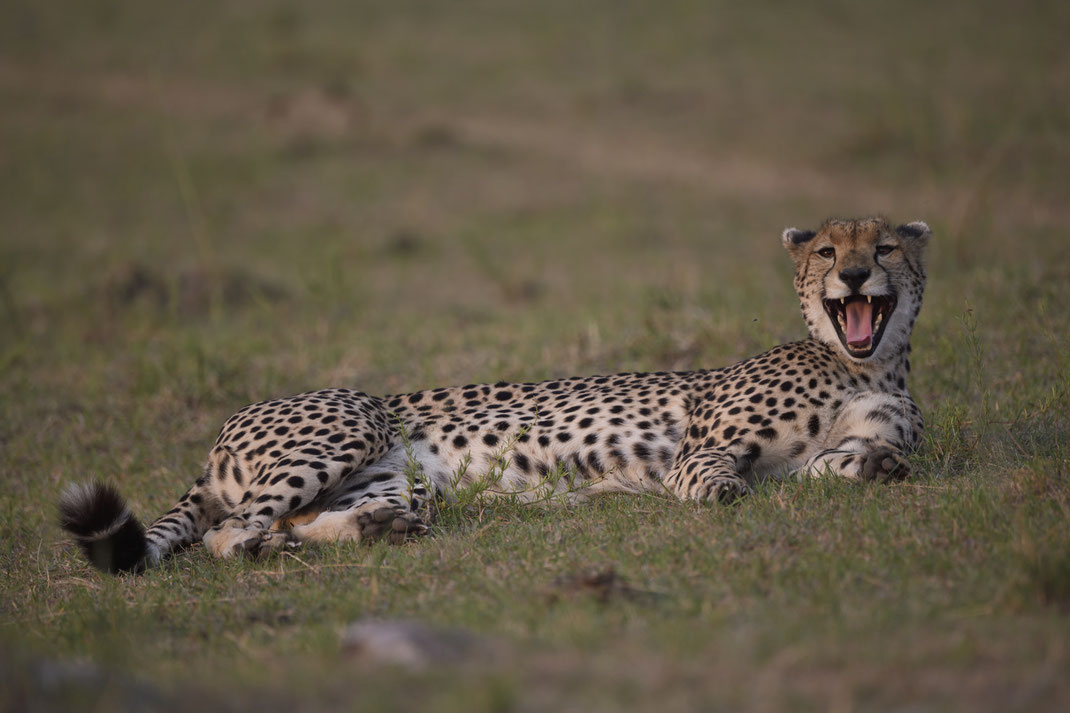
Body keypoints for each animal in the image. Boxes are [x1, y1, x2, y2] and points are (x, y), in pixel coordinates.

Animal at [60, 216, 928, 573]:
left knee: (301, 517)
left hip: (397, 479)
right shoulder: (700, 446)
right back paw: (274, 547)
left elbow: (854, 463)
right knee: (230, 529)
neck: (865, 364)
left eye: (884, 247)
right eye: (828, 250)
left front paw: (874, 467)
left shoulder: (831, 452)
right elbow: (710, 474)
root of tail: (221, 433)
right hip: (351, 419)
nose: (857, 275)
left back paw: (374, 527)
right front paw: (722, 494)